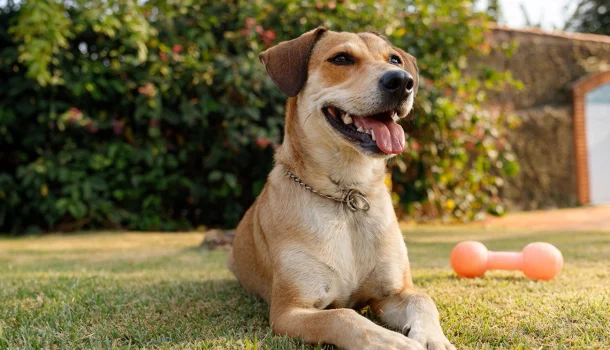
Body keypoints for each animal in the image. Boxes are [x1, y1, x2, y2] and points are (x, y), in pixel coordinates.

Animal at [226, 28, 454, 350]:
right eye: (342, 59)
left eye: (394, 59)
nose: (402, 81)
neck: (348, 195)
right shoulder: (289, 311)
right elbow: (342, 315)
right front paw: (390, 341)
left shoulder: (392, 294)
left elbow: (423, 298)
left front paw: (434, 337)